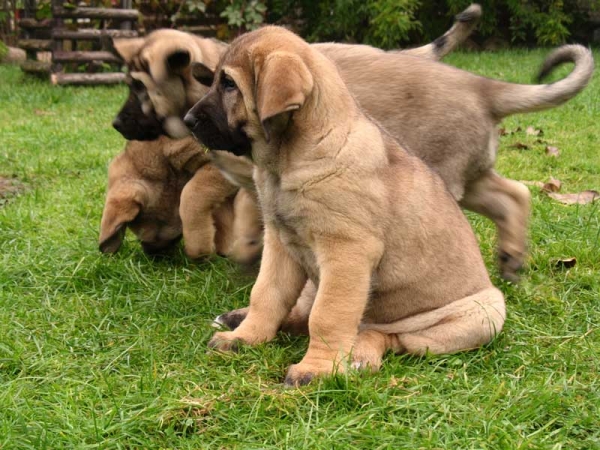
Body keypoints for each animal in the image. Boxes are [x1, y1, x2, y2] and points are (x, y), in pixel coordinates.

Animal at [184, 27, 506, 386]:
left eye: (228, 84)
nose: (187, 120)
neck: (291, 159)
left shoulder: (347, 252)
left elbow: (328, 316)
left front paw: (317, 369)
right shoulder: (280, 244)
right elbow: (266, 295)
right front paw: (245, 337)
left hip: (483, 313)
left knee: (384, 335)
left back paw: (359, 355)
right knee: (302, 312)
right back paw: (234, 319)